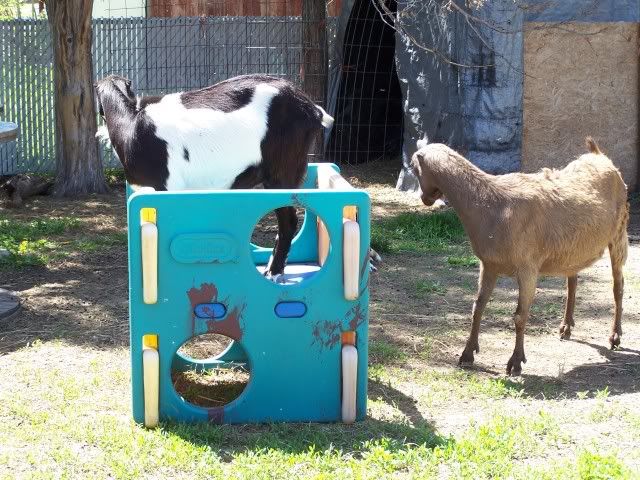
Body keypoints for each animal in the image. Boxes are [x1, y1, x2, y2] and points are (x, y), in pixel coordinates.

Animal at [95, 74, 333, 279]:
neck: (131, 127)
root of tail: (311, 108)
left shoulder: (168, 188)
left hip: (282, 172)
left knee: (289, 220)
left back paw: (273, 272)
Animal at [411, 138, 629, 375]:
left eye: (413, 168)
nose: (424, 198)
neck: (490, 204)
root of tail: (599, 156)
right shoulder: (489, 264)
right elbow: (478, 307)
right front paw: (467, 354)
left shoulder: (527, 267)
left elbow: (519, 315)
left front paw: (515, 362)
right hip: (572, 249)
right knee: (572, 281)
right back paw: (566, 327)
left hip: (619, 234)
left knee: (618, 286)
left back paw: (614, 336)